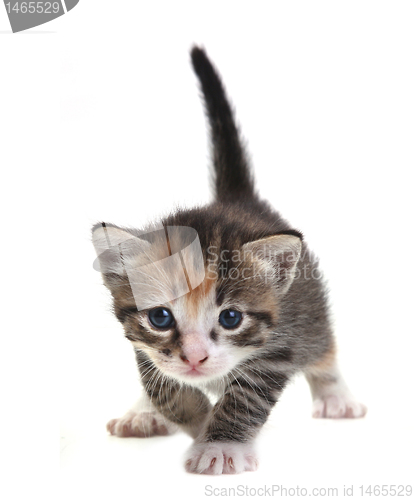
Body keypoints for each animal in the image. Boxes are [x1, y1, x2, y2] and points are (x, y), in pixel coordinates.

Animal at [91, 46, 366, 472]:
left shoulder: (276, 349)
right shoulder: (143, 345)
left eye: (231, 318)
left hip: (310, 312)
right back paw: (143, 413)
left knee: (323, 347)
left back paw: (336, 396)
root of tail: (238, 199)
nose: (194, 358)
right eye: (160, 317)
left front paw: (219, 445)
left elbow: (244, 398)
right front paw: (196, 418)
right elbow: (163, 386)